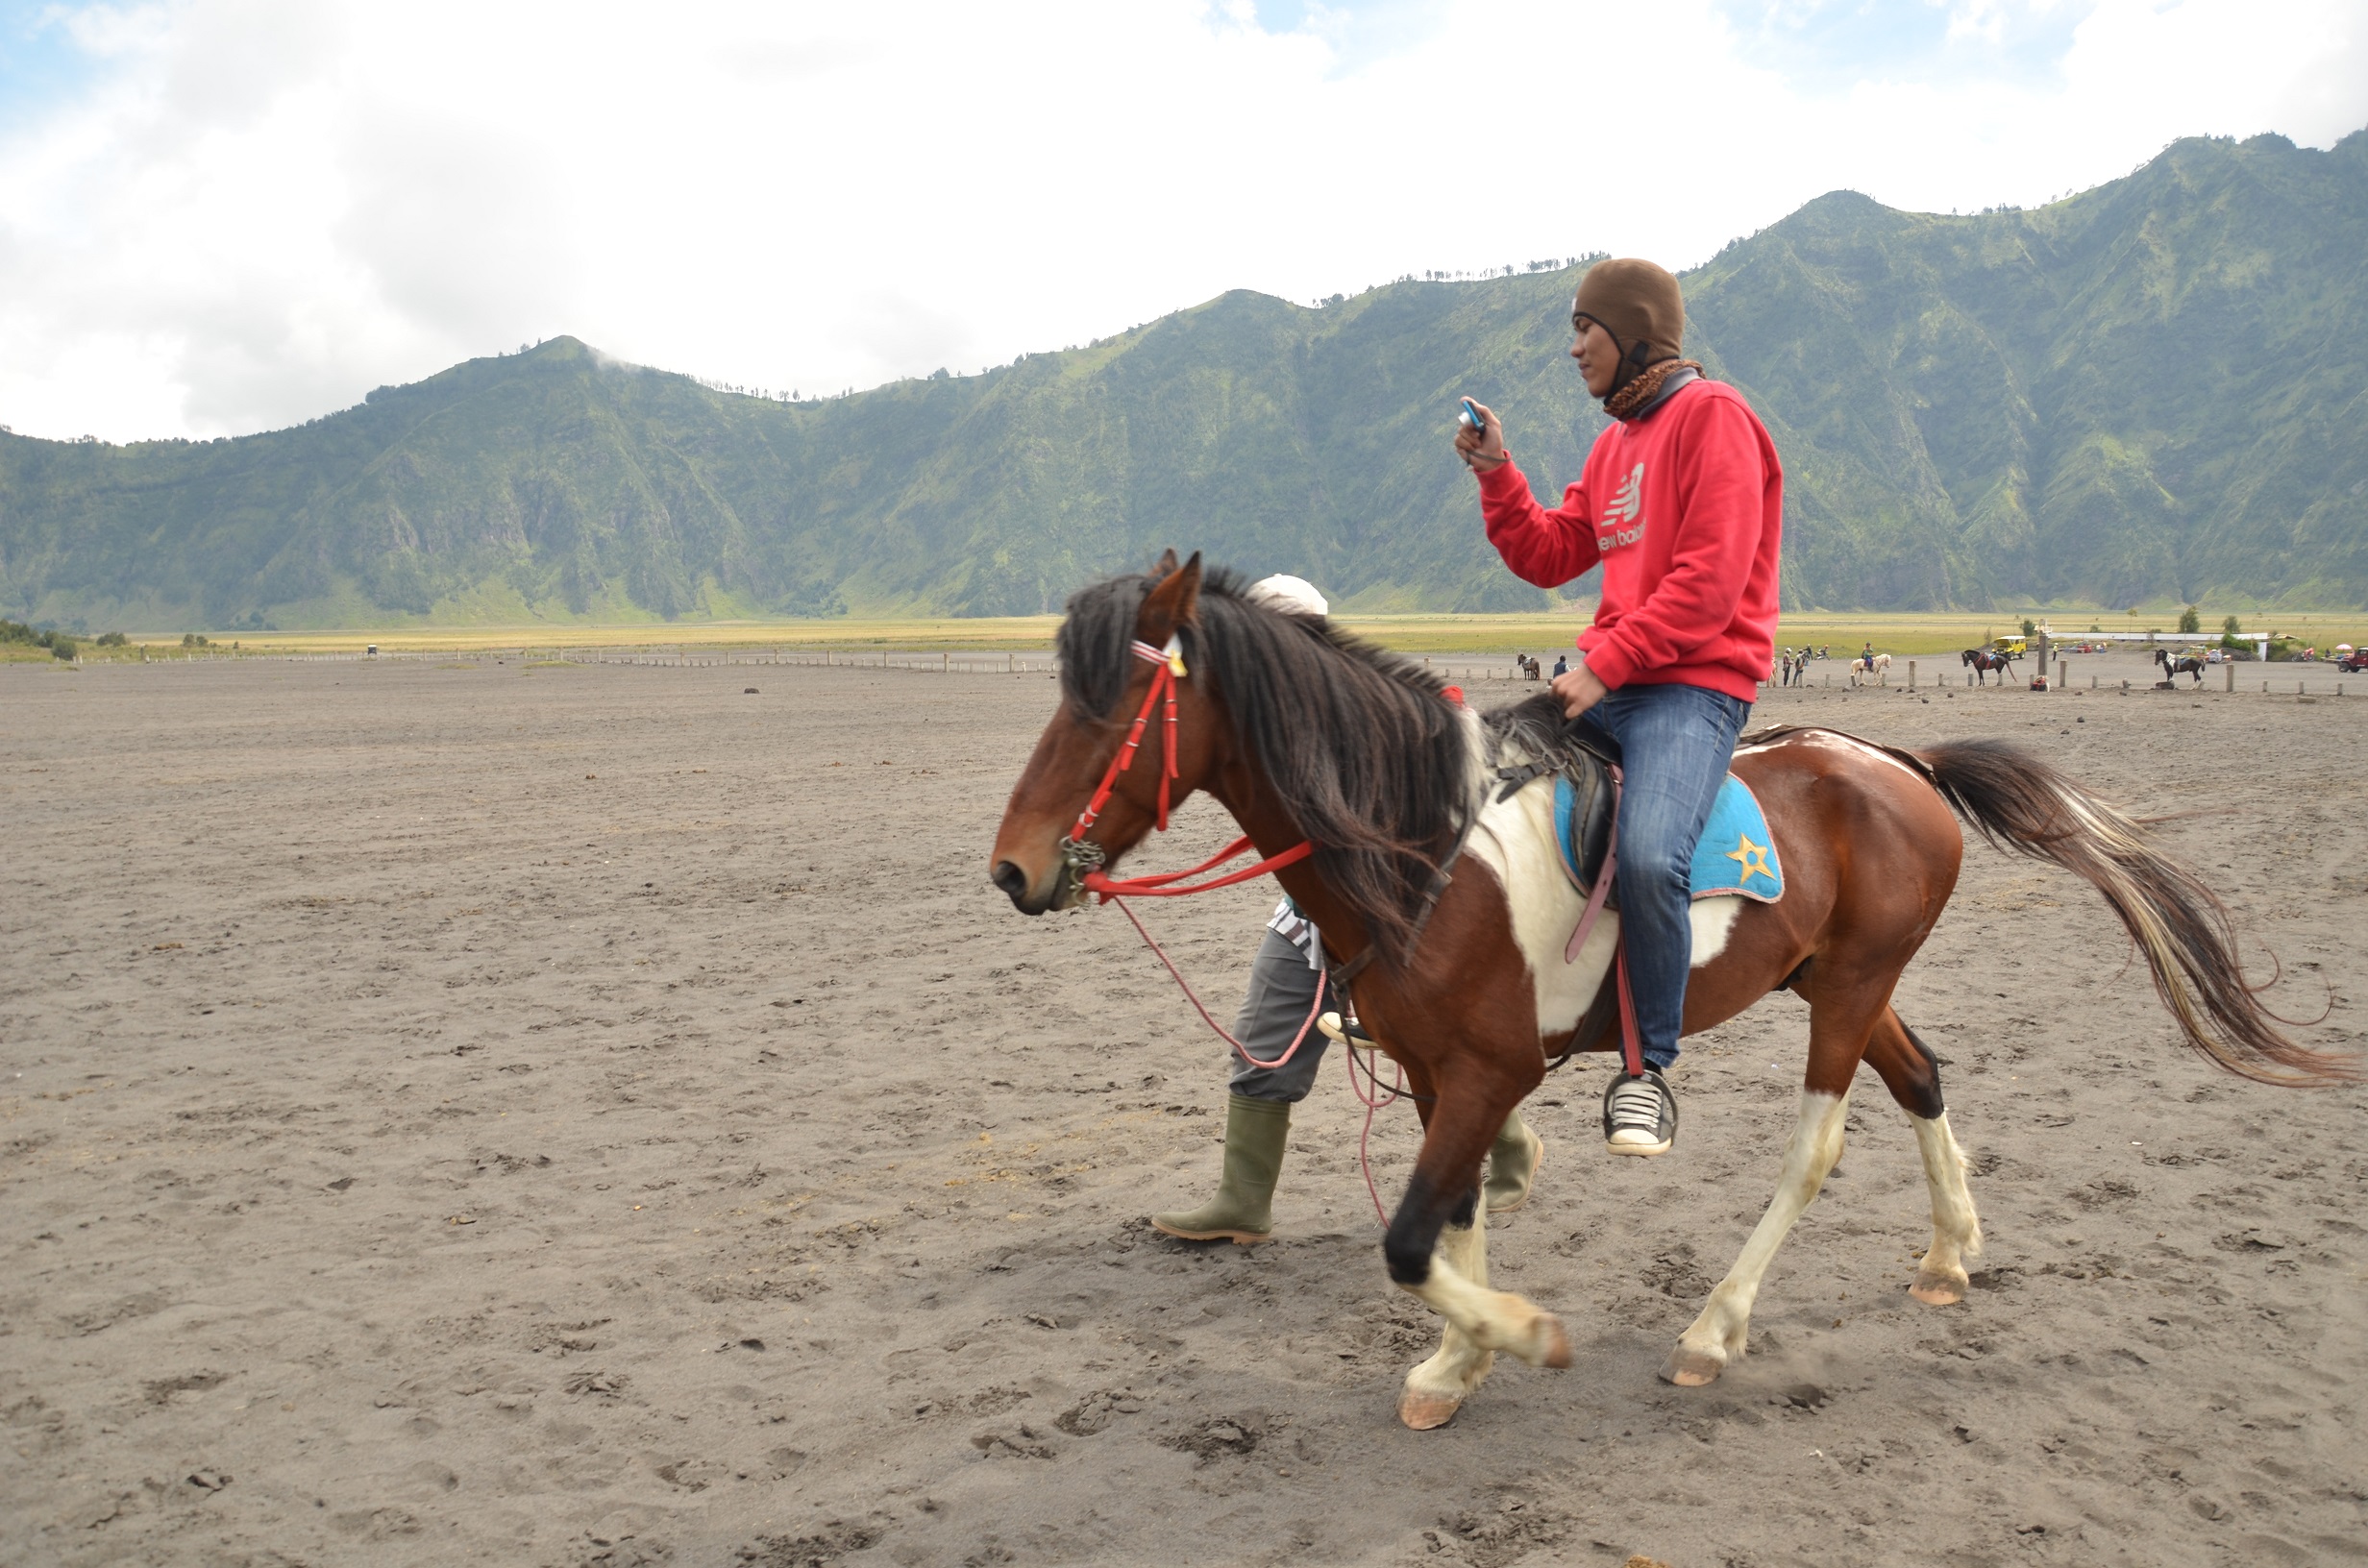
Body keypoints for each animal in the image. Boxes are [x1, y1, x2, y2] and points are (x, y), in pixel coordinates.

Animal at [985, 556, 2349, 1439]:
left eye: (1117, 704)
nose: (1012, 868)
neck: (1428, 848)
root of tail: (1896, 760)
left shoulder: (1488, 1073)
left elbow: (1414, 1239)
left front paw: (1514, 1336)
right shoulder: (1435, 1075)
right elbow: (1450, 1218)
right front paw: (1453, 1363)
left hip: (1847, 991)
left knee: (1817, 1146)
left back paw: (1713, 1327)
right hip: (1841, 976)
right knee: (1923, 1078)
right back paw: (1950, 1254)